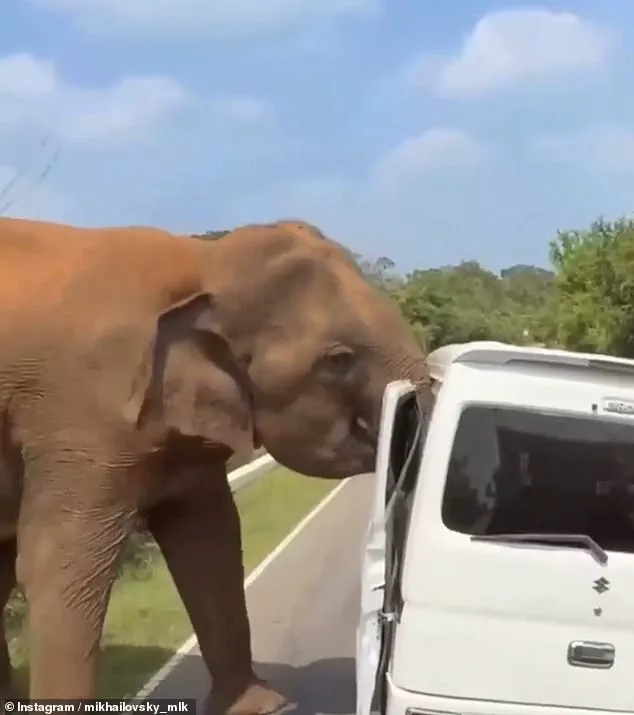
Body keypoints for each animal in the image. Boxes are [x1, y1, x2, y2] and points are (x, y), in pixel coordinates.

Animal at [0, 216, 432, 710]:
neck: (203, 259)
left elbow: (211, 538)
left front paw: (262, 707)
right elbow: (59, 565)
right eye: (340, 359)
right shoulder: (81, 416)